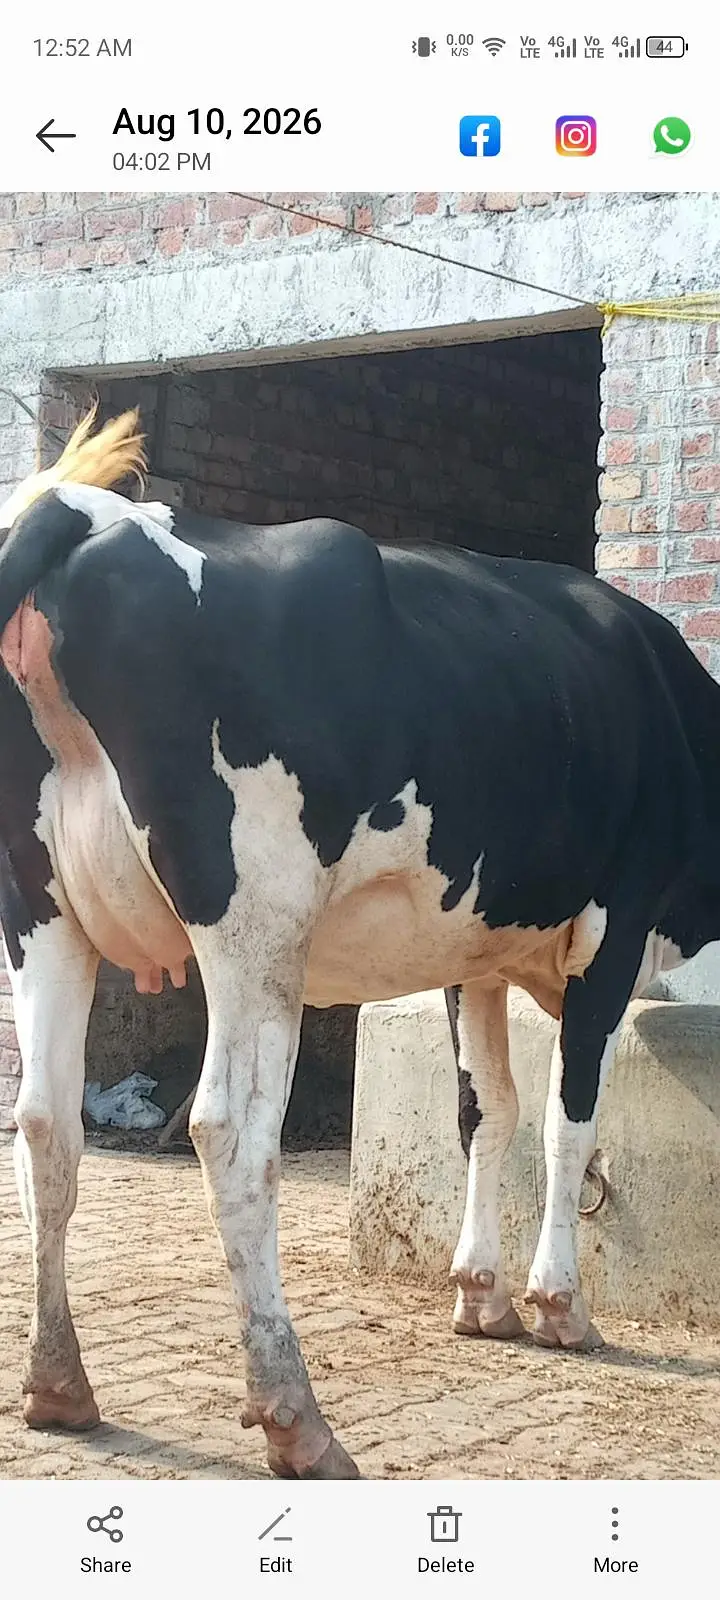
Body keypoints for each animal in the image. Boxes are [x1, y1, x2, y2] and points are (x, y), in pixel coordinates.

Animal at [0, 408, 717, 1480]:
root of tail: (85, 512)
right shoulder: (614, 932)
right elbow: (568, 1122)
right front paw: (559, 1304)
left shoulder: (475, 953)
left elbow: (486, 1113)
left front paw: (481, 1296)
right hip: (257, 919)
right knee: (230, 1129)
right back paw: (296, 1417)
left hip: (41, 910)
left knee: (46, 1120)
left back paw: (58, 1388)